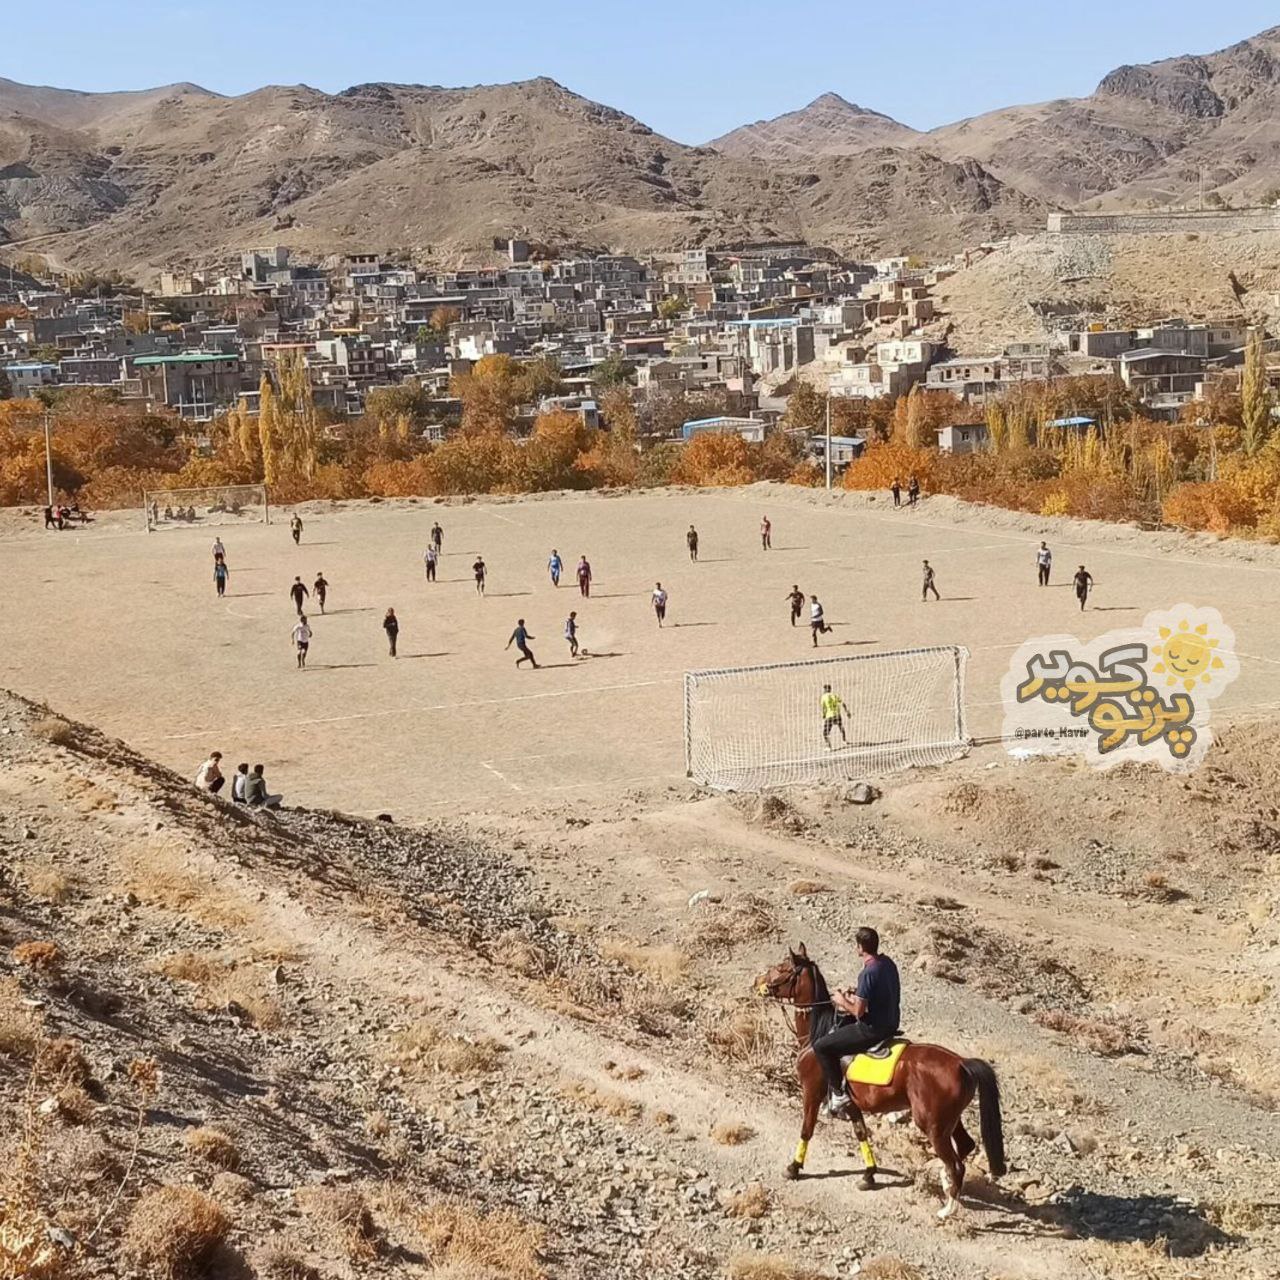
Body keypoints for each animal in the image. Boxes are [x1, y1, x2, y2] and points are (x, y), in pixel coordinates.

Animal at [752, 942, 1003, 1218]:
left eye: (782, 968)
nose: (758, 982)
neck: (818, 1033)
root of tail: (961, 1063)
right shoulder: (851, 1105)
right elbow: (862, 1133)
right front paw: (869, 1175)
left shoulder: (811, 1092)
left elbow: (807, 1129)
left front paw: (794, 1167)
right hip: (949, 1121)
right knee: (965, 1147)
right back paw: (947, 1184)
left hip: (933, 1125)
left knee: (956, 1163)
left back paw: (947, 1208)